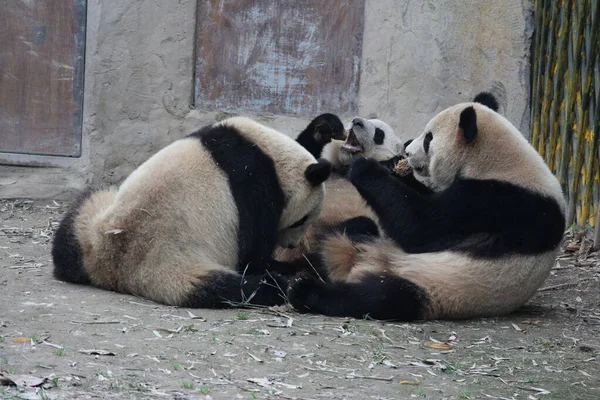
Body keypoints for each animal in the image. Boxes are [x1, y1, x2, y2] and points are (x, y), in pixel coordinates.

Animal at [52, 117, 332, 308]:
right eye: (303, 219)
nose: (291, 244)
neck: (272, 155)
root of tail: (111, 269)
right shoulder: (255, 190)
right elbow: (252, 255)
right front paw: (286, 265)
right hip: (179, 268)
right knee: (234, 288)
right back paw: (277, 284)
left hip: (89, 222)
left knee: (76, 222)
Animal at [274, 115, 408, 266]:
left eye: (379, 133)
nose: (357, 122)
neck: (346, 168)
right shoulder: (326, 169)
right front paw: (324, 128)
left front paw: (390, 163)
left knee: (361, 226)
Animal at [288, 92, 564, 320]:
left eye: (429, 139)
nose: (408, 151)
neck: (502, 161)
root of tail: (360, 265)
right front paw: (325, 127)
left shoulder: (499, 203)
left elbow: (424, 229)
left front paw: (368, 168)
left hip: (435, 286)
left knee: (380, 297)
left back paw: (305, 290)